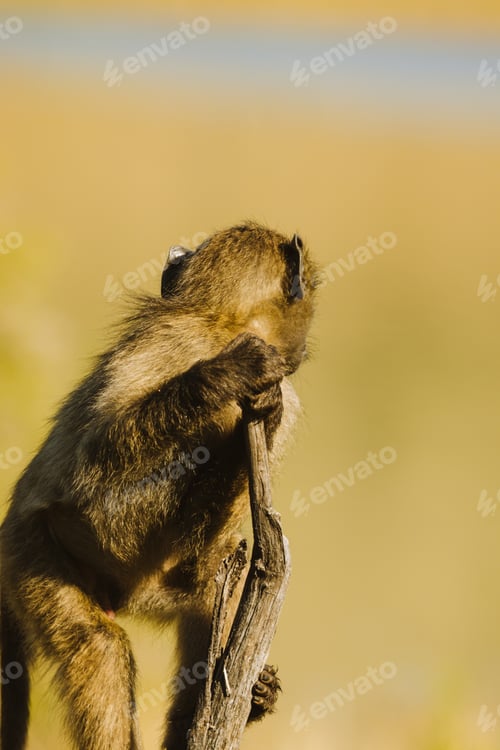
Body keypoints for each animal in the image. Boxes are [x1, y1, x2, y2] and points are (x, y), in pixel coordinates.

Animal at [0, 221, 317, 750]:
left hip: (156, 588)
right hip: (30, 550)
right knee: (98, 643)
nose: (303, 350)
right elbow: (96, 458)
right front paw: (224, 377)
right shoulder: (171, 339)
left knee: (209, 583)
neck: (224, 323)